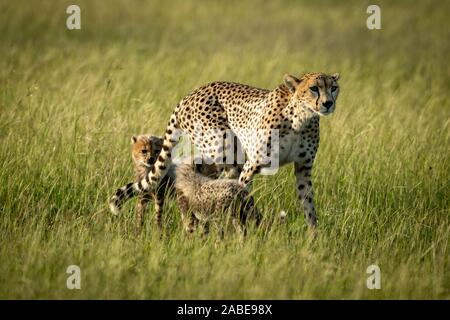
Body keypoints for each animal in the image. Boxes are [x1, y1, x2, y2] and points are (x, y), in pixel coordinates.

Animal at [110, 72, 340, 228]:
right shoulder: (251, 165)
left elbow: (309, 207)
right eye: (314, 88)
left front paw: (314, 241)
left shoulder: (303, 168)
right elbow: (242, 194)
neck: (301, 118)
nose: (328, 103)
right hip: (226, 149)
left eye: (334, 87)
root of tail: (190, 94)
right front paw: (250, 228)